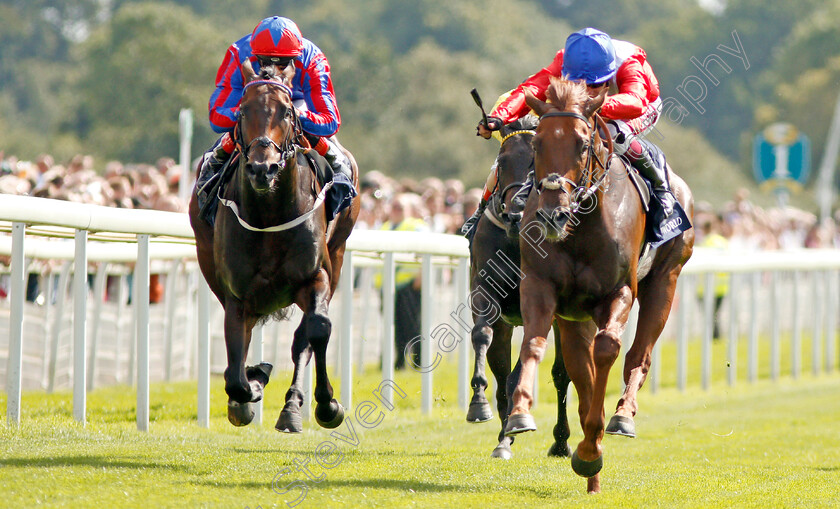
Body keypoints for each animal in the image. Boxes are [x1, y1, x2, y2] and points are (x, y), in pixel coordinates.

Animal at [189, 60, 360, 432]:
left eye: (287, 111)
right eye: (242, 110)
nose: (262, 168)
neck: (268, 216)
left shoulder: (316, 276)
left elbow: (318, 329)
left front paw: (328, 405)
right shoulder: (237, 292)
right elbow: (235, 367)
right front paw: (251, 385)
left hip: (338, 254)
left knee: (303, 338)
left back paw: (292, 407)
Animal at [502, 78, 692, 492]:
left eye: (582, 143)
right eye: (537, 143)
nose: (552, 214)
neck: (582, 226)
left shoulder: (619, 291)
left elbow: (608, 349)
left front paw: (592, 446)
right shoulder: (541, 286)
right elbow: (535, 345)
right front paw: (521, 413)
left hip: (666, 280)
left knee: (639, 355)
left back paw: (621, 418)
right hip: (574, 317)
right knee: (580, 368)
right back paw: (592, 464)